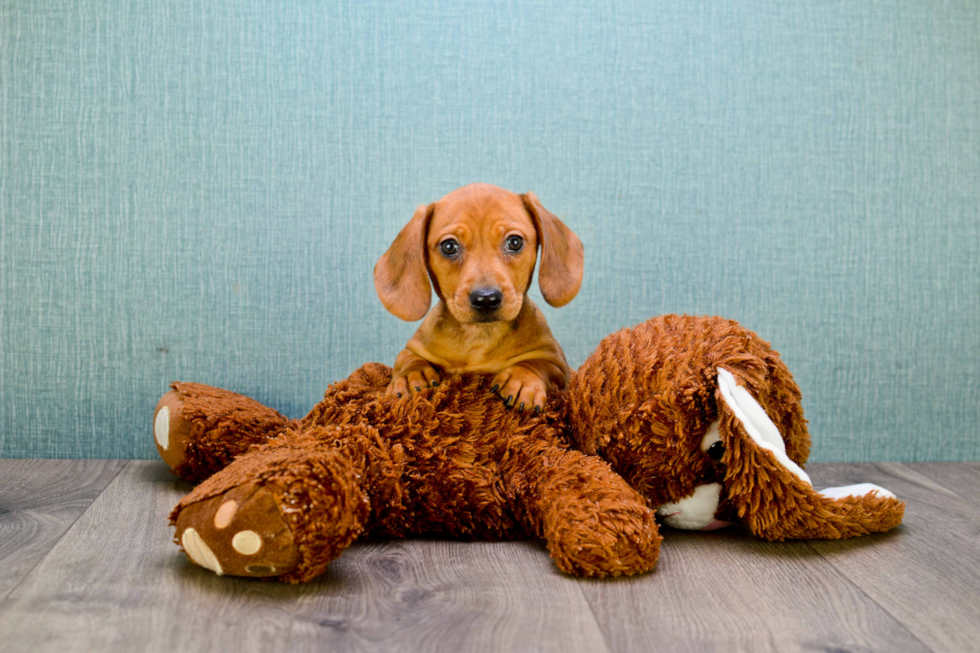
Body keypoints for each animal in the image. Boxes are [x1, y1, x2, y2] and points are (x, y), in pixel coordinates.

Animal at [378, 181, 584, 410]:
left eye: (514, 242)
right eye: (449, 246)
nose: (486, 299)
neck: (480, 335)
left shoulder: (556, 360)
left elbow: (535, 363)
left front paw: (523, 379)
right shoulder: (413, 349)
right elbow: (409, 360)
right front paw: (409, 377)